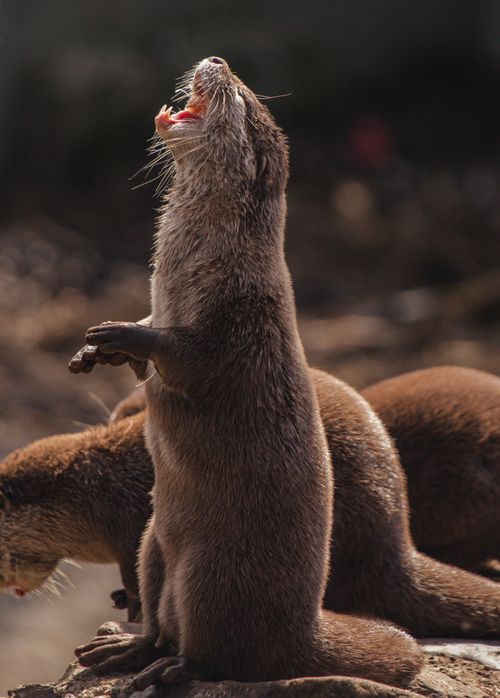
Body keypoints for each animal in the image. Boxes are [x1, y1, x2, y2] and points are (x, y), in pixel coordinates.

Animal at [70, 57, 422, 689]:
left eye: (245, 100)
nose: (219, 61)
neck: (208, 267)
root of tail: (302, 632)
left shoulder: (241, 325)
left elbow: (189, 360)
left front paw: (122, 335)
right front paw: (96, 352)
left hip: (213, 575)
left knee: (222, 653)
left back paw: (171, 669)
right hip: (152, 543)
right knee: (159, 619)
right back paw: (124, 649)